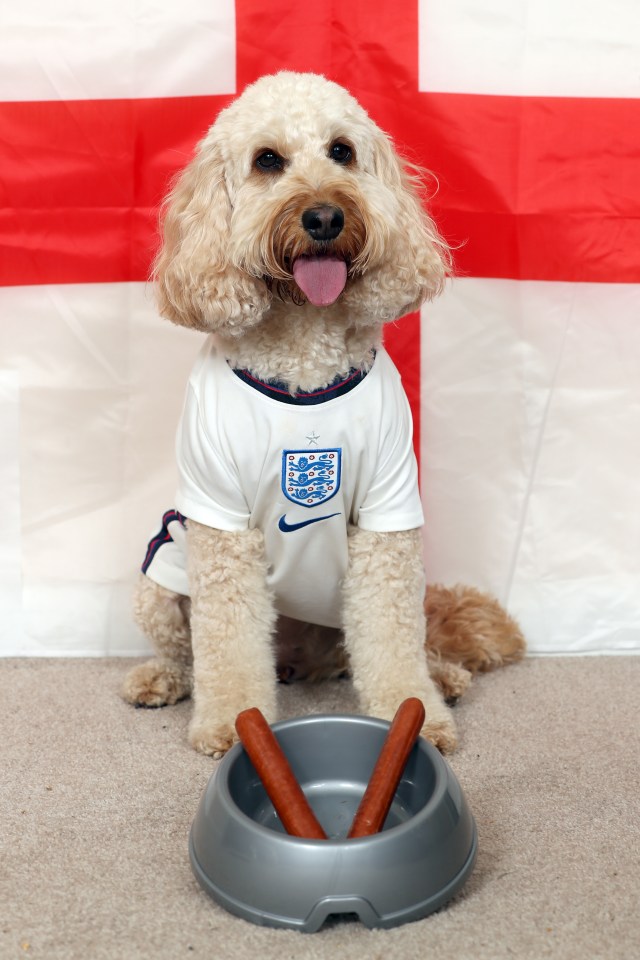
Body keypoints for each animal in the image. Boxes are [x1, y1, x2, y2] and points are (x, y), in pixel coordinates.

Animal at [121, 71, 524, 752]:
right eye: (267, 161)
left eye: (342, 151)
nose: (324, 216)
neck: (304, 359)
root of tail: (295, 655)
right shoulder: (220, 525)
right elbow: (227, 644)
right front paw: (232, 722)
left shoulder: (388, 520)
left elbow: (392, 639)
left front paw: (417, 712)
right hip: (163, 573)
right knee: (188, 649)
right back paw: (162, 678)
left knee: (399, 637)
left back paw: (441, 675)